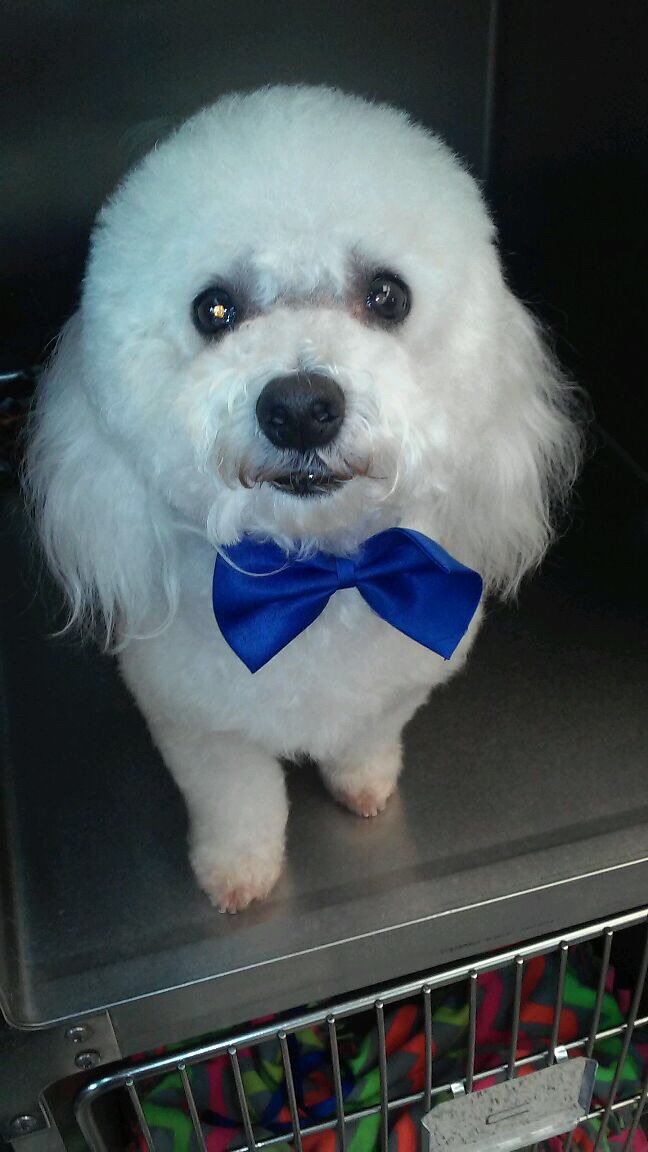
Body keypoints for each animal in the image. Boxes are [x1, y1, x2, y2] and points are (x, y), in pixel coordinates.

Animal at [25, 86, 582, 912]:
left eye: (387, 295)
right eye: (214, 310)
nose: (299, 407)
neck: (318, 580)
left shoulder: (396, 687)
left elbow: (366, 738)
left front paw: (364, 784)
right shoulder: (200, 728)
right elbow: (238, 803)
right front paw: (238, 872)